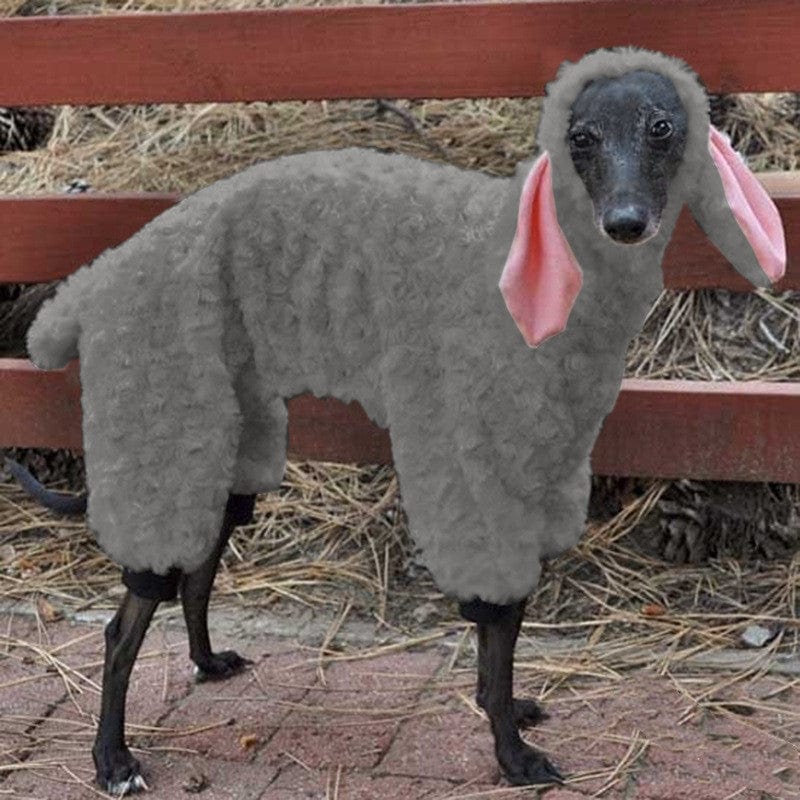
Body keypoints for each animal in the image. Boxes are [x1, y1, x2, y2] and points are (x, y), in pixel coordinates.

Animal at [21, 47, 785, 793]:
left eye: (662, 127)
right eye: (581, 138)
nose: (625, 223)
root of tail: (95, 280)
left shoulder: (535, 479)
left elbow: (506, 631)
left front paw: (509, 709)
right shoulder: (478, 482)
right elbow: (498, 626)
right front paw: (512, 755)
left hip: (224, 441)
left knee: (197, 571)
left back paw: (207, 665)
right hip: (166, 427)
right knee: (123, 630)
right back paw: (112, 759)